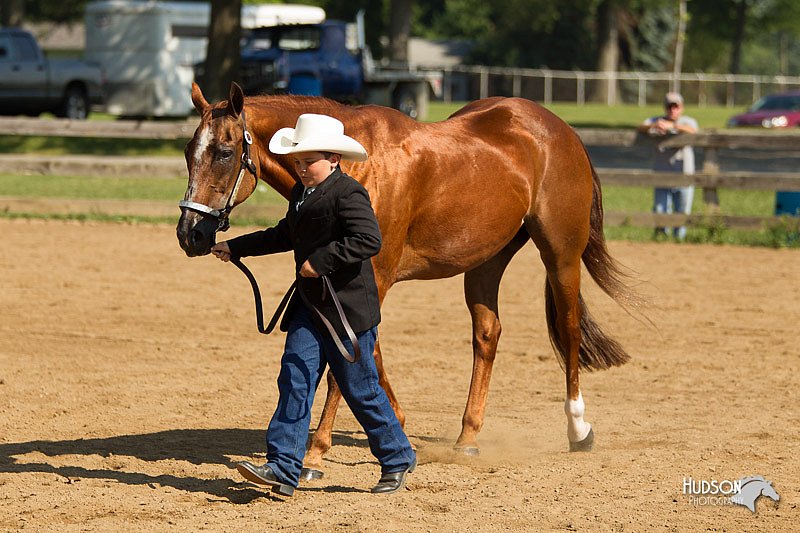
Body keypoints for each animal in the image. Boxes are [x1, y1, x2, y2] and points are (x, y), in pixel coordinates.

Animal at [177, 82, 636, 478]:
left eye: (224, 152)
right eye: (187, 151)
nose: (190, 234)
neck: (354, 162)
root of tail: (560, 129)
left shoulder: (371, 275)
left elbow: (346, 361)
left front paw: (316, 453)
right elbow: (367, 354)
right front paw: (393, 425)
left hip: (561, 254)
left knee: (569, 328)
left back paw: (579, 429)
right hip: (487, 261)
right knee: (487, 334)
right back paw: (468, 438)